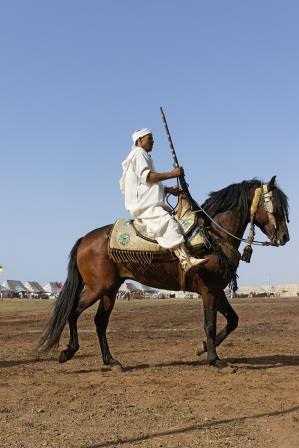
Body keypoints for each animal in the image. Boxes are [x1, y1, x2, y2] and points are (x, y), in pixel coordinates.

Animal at [39, 177, 290, 370]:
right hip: (97, 288)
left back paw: (111, 361)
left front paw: (202, 348)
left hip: (110, 290)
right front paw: (214, 359)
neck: (213, 236)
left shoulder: (218, 291)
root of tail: (85, 239)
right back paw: (68, 352)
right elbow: (209, 324)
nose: (285, 237)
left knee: (100, 322)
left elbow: (233, 320)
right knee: (73, 313)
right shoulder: (209, 291)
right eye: (276, 207)